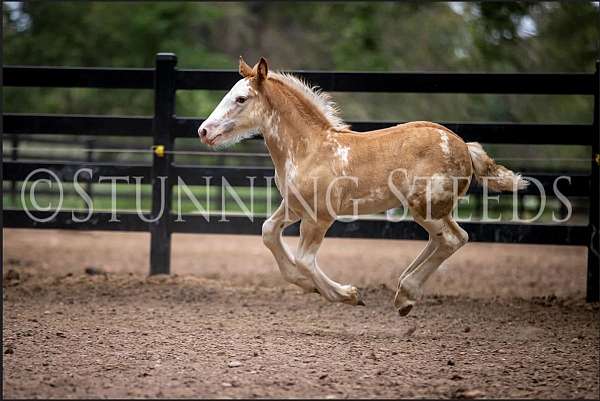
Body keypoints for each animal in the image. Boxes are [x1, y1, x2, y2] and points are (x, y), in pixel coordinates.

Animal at [197, 56, 524, 316]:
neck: (309, 150)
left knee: (453, 239)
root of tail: (464, 147)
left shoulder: (320, 217)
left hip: (426, 207)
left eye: (241, 99)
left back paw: (406, 294)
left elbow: (304, 259)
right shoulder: (294, 207)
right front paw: (306, 285)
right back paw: (404, 294)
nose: (203, 131)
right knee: (447, 238)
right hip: (430, 210)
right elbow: (268, 233)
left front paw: (348, 295)